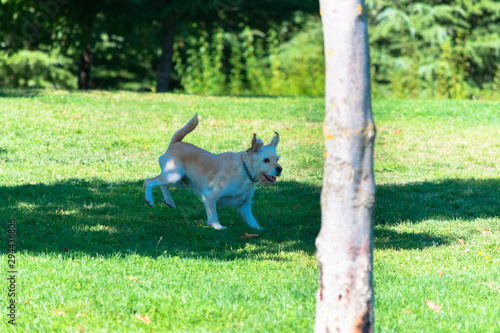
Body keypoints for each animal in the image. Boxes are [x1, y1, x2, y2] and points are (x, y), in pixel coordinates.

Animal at [145, 113, 282, 230]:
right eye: (266, 160)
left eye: (277, 159)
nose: (280, 169)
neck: (245, 170)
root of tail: (175, 143)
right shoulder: (210, 195)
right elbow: (213, 215)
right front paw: (218, 226)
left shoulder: (244, 204)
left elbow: (252, 220)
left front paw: (259, 229)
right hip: (173, 175)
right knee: (149, 181)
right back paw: (149, 200)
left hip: (181, 181)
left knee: (163, 186)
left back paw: (169, 202)